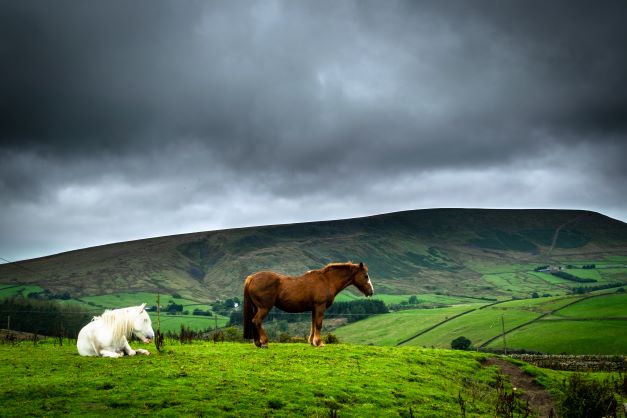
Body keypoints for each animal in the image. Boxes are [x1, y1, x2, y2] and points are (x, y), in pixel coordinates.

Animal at [244, 262, 372, 348]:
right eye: (365, 276)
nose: (371, 291)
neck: (327, 280)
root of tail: (251, 278)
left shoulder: (314, 309)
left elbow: (313, 325)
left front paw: (312, 342)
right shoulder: (320, 307)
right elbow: (319, 324)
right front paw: (319, 342)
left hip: (257, 308)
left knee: (254, 321)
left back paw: (258, 343)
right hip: (264, 308)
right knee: (256, 321)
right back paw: (265, 342)